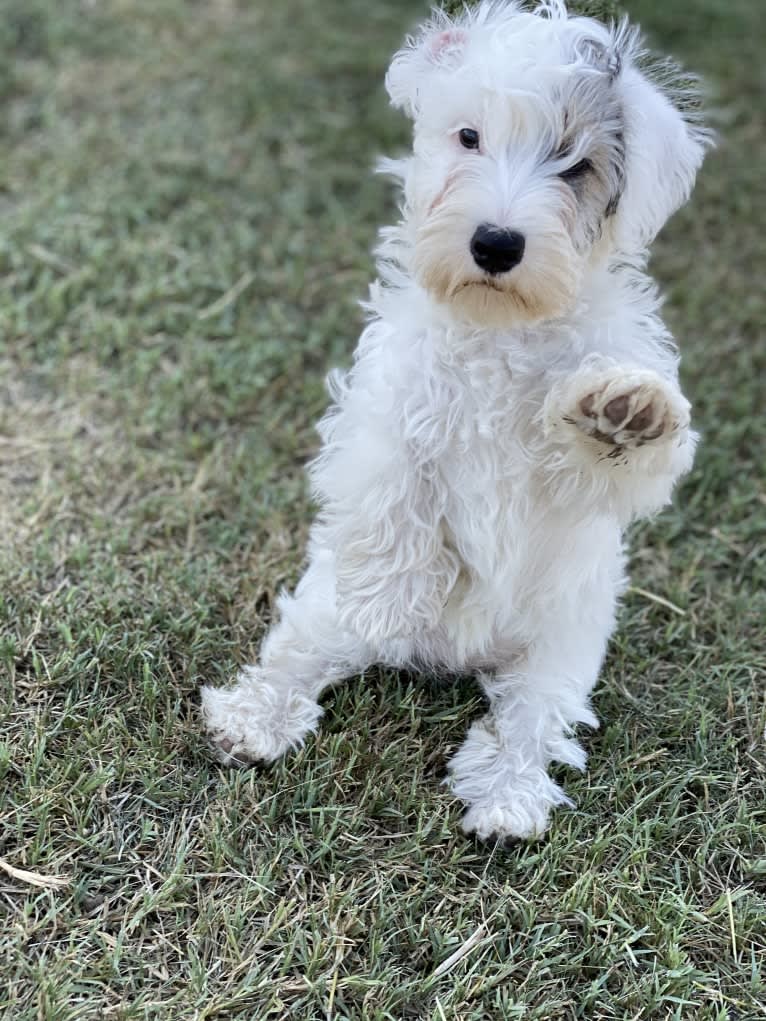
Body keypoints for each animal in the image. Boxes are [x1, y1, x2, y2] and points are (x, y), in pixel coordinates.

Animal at [199, 1, 714, 837]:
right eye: (469, 137)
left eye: (575, 164)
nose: (496, 242)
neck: (499, 326)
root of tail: (455, 657)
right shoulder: (385, 407)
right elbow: (397, 494)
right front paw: (394, 593)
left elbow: (617, 452)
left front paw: (620, 413)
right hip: (325, 604)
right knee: (298, 654)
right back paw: (255, 715)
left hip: (561, 648)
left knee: (528, 720)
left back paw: (506, 795)